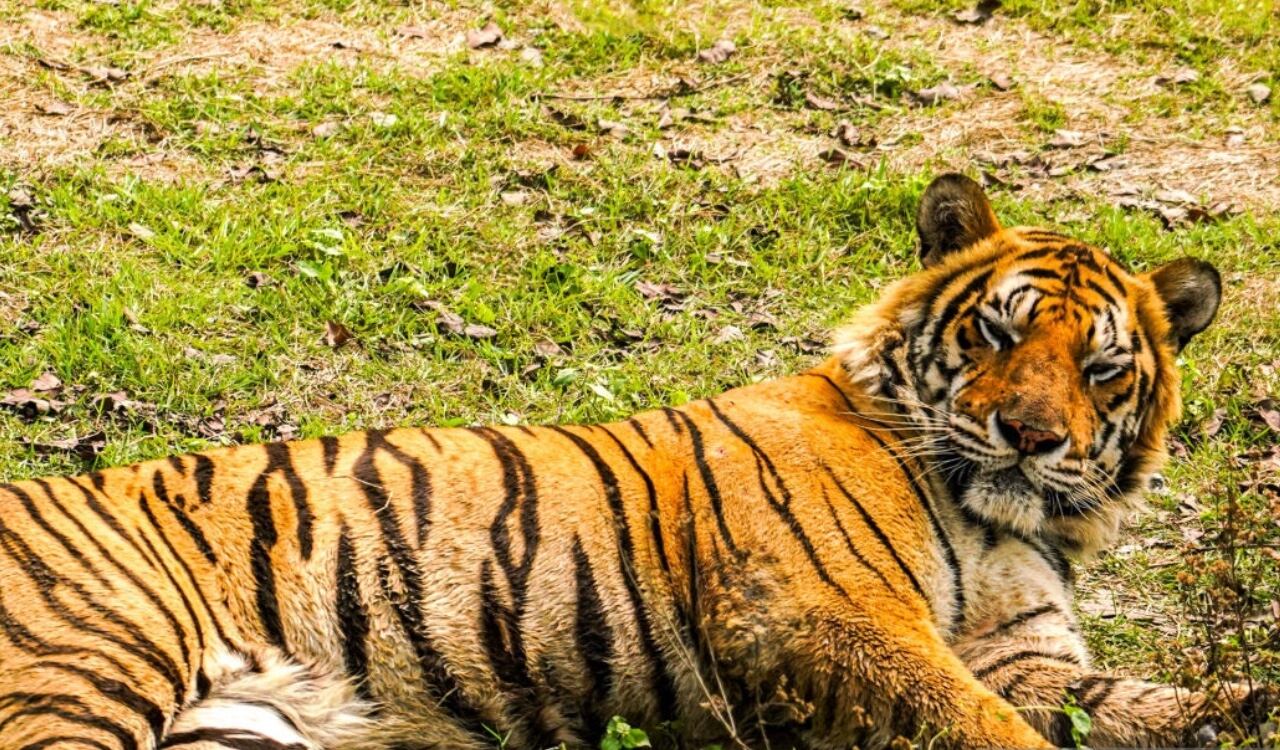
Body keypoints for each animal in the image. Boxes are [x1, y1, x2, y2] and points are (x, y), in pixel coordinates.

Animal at [0, 173, 1266, 750]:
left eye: (1098, 370)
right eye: (999, 336)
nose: (1032, 439)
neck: (1004, 519)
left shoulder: (1019, 655)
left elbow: (1125, 701)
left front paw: (1237, 703)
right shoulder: (818, 613)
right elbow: (984, 726)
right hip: (91, 664)